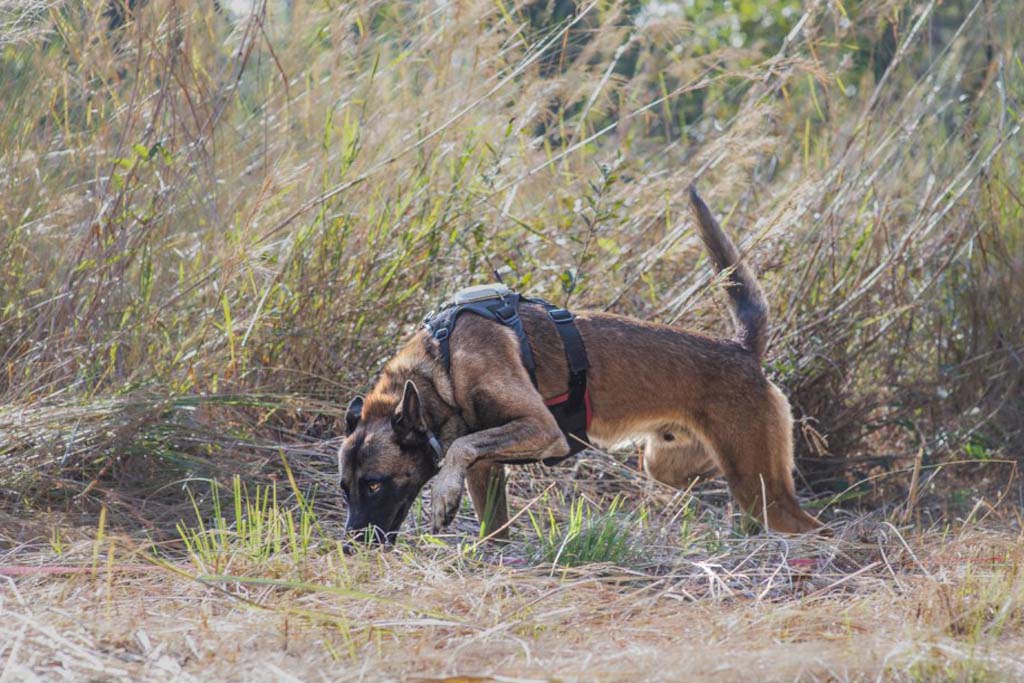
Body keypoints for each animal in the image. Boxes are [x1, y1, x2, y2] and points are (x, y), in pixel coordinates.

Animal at [339, 185, 819, 544]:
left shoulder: (541, 429)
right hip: (671, 466)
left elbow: (461, 448)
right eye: (344, 488)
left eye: (375, 483)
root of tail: (742, 349)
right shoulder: (488, 468)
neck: (441, 364)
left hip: (759, 486)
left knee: (811, 525)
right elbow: (490, 520)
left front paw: (441, 497)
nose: (352, 543)